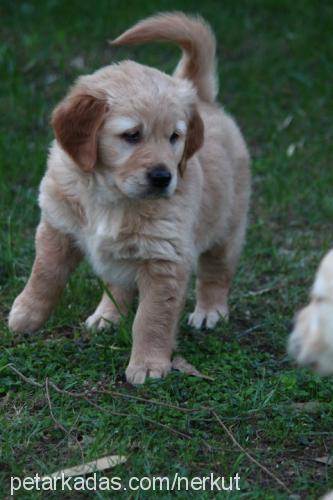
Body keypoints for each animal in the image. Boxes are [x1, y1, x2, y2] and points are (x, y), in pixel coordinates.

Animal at [8, 14, 249, 382]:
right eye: (132, 135)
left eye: (174, 137)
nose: (164, 177)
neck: (108, 195)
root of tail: (200, 95)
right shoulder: (56, 226)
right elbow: (44, 275)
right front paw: (25, 315)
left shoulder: (165, 258)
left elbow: (152, 318)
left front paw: (148, 364)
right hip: (121, 252)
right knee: (117, 284)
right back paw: (106, 317)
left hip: (227, 226)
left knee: (216, 272)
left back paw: (210, 311)